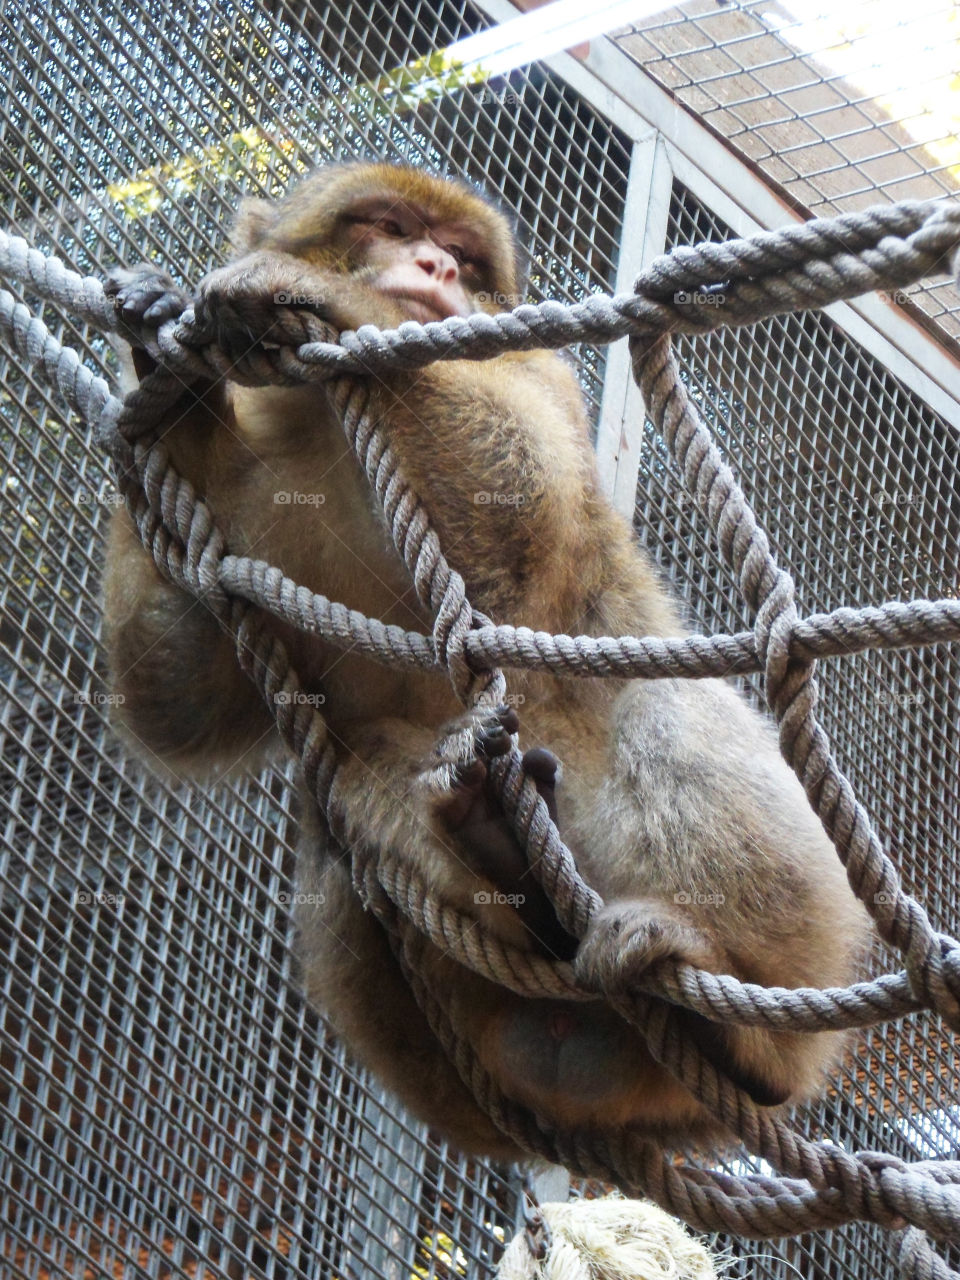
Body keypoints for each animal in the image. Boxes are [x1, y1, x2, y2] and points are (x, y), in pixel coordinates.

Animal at [102, 162, 871, 1161]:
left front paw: (323, 298)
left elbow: (522, 507)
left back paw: (741, 1038)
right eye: (388, 224)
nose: (432, 266)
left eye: (462, 258)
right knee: (345, 796)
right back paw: (503, 857)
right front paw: (161, 359)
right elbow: (181, 704)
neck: (318, 425)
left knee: (657, 706)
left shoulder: (542, 374)